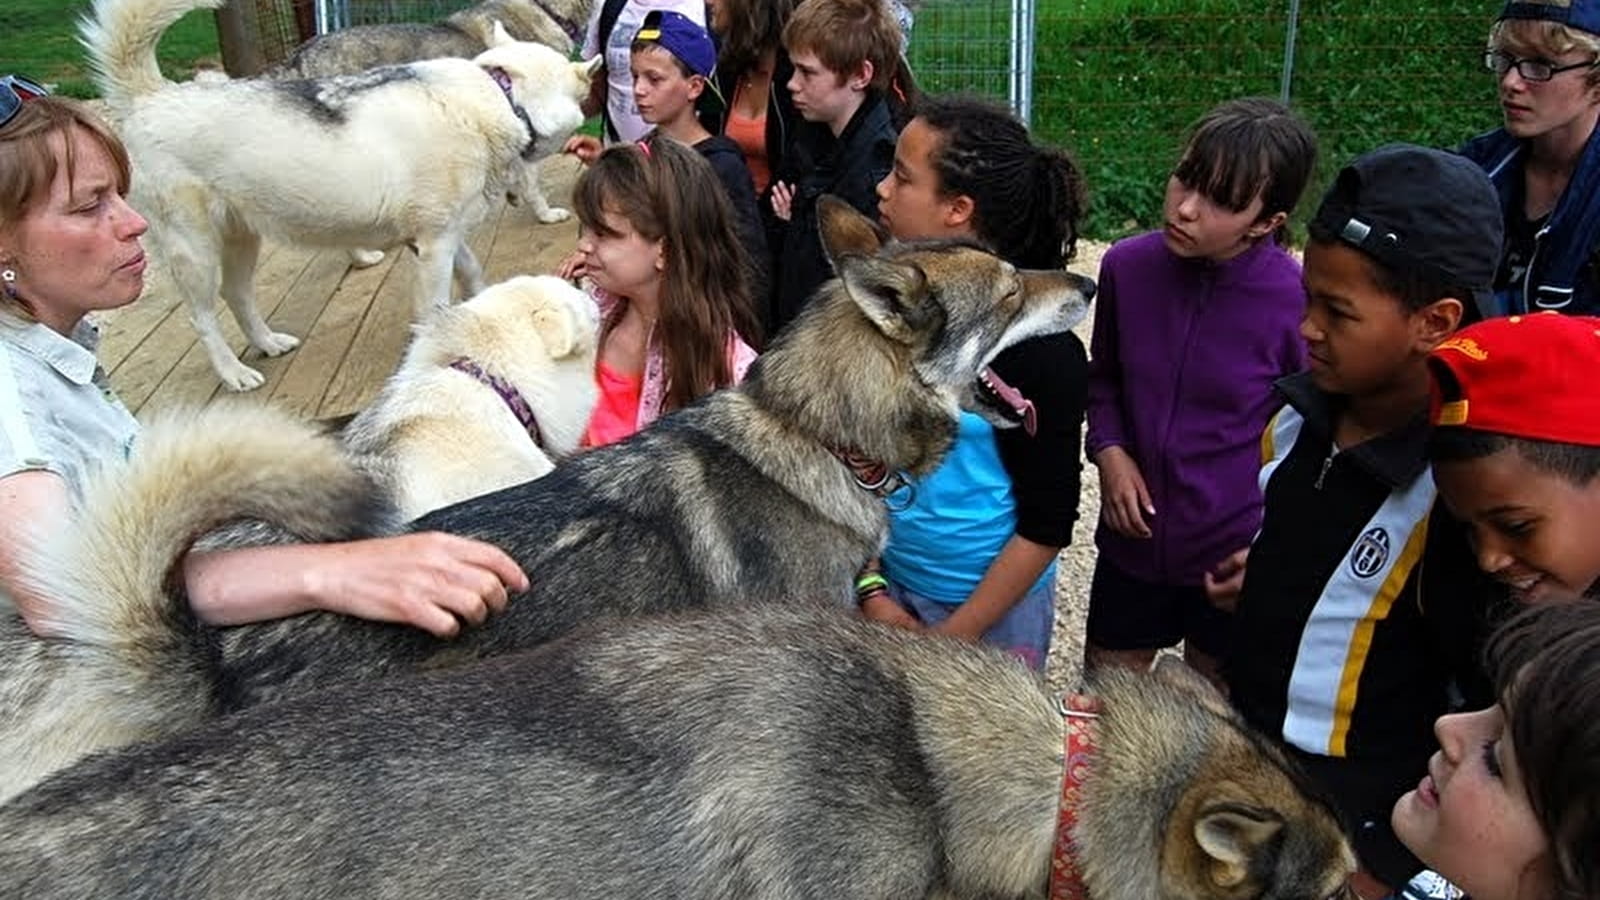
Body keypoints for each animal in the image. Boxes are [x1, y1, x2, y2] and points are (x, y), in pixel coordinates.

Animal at [79, 0, 601, 389]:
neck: (501, 94)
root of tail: (153, 96)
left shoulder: (443, 235)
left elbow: (472, 272)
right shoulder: (434, 246)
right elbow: (436, 306)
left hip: (242, 239)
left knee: (238, 295)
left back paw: (268, 343)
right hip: (195, 251)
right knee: (203, 317)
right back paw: (234, 372)